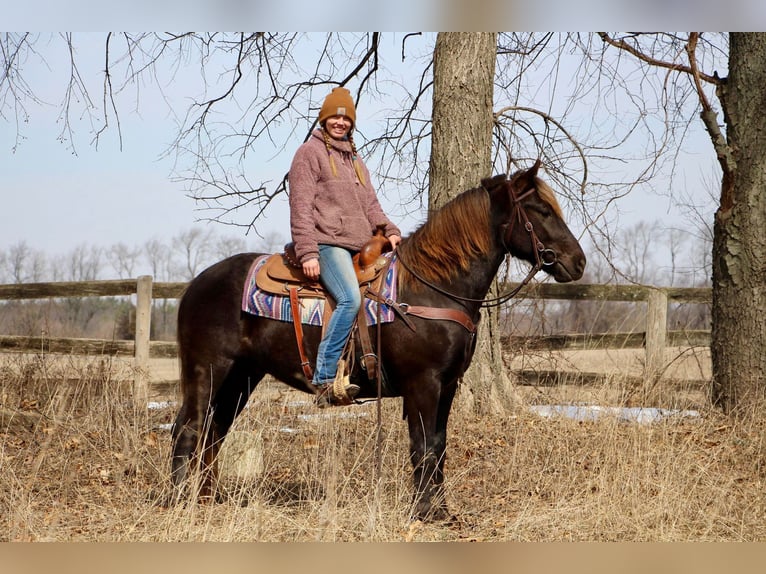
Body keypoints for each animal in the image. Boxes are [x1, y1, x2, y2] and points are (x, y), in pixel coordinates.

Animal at [170, 161, 588, 520]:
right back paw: (177, 501)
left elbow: (439, 446)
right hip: (209, 370)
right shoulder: (423, 384)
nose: (579, 262)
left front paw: (441, 510)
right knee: (189, 428)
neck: (430, 288)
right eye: (541, 210)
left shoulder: (448, 385)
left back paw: (206, 499)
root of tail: (195, 284)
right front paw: (425, 512)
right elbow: (422, 447)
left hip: (242, 376)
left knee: (213, 432)